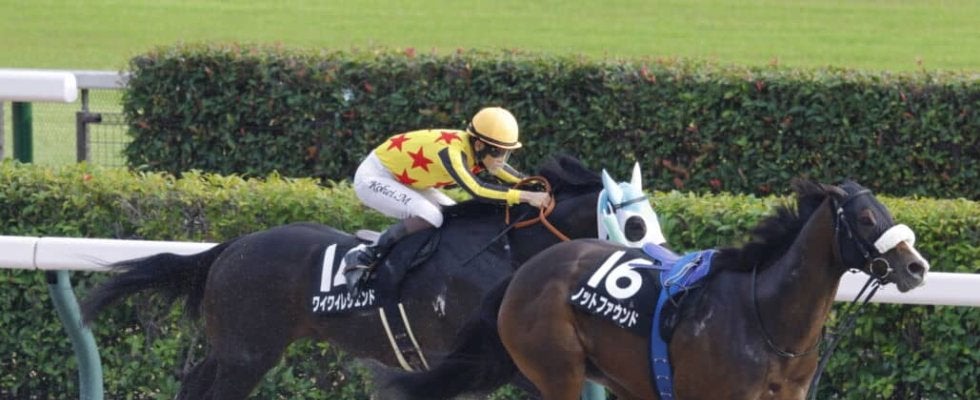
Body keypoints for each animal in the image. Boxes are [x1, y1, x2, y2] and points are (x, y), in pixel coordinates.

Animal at [80, 155, 666, 399]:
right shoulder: (486, 358)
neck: (504, 249)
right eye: (636, 224)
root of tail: (230, 248)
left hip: (233, 347)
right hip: (249, 353)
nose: (662, 261)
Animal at [387, 179, 930, 400]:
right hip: (556, 370)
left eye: (886, 210)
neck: (768, 317)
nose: (916, 266)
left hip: (624, 380)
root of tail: (524, 272)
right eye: (866, 217)